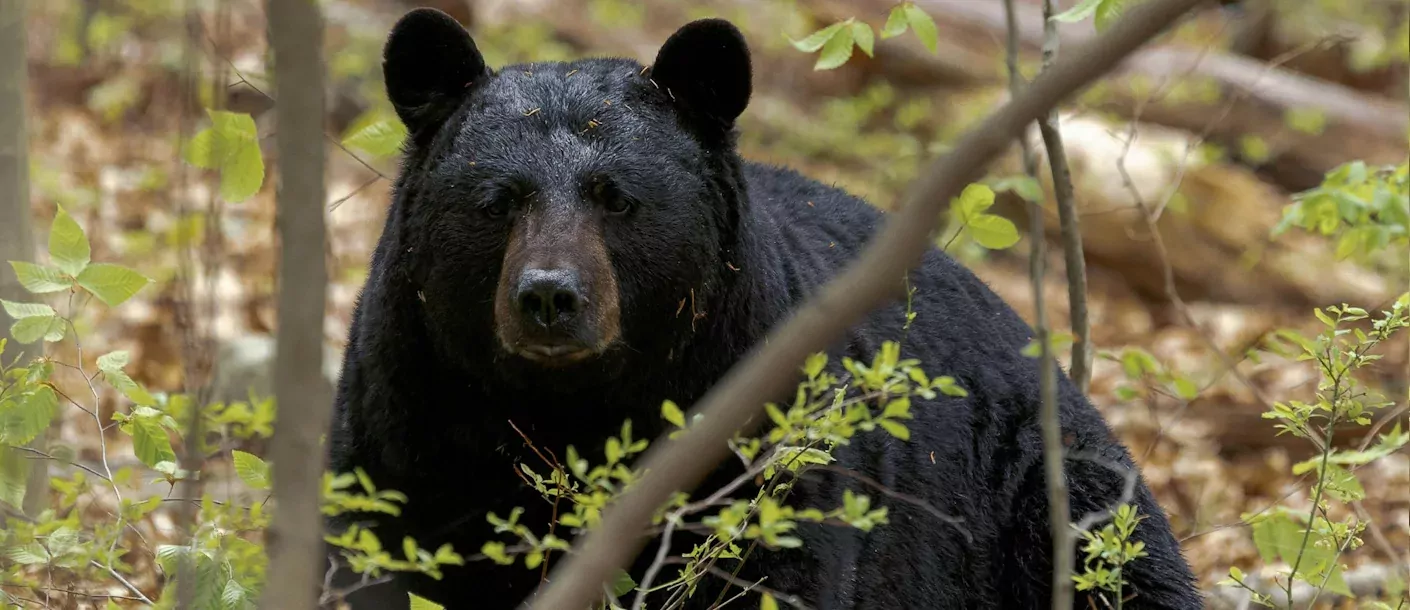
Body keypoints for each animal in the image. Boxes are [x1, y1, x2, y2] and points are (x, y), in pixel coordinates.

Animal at [327, 5, 1201, 608]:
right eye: (498, 202)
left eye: (617, 198)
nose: (549, 296)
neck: (570, 407)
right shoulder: (407, 414)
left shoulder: (760, 437)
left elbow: (772, 568)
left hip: (1046, 495)